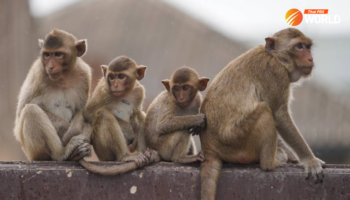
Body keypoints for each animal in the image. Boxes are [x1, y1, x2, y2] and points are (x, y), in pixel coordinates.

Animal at [14, 28, 92, 162]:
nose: (50, 67)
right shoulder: (38, 74)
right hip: (33, 152)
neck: (63, 78)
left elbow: (82, 110)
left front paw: (77, 128)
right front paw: (70, 131)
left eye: (58, 54)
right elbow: (22, 112)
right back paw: (63, 153)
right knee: (30, 110)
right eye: (47, 55)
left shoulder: (84, 75)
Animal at [201, 28, 326, 200]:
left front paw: (293, 155)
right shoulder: (276, 73)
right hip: (237, 141)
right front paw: (310, 161)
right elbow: (279, 116)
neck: (276, 57)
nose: (310, 58)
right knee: (265, 110)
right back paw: (271, 163)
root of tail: (209, 148)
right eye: (299, 47)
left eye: (307, 47)